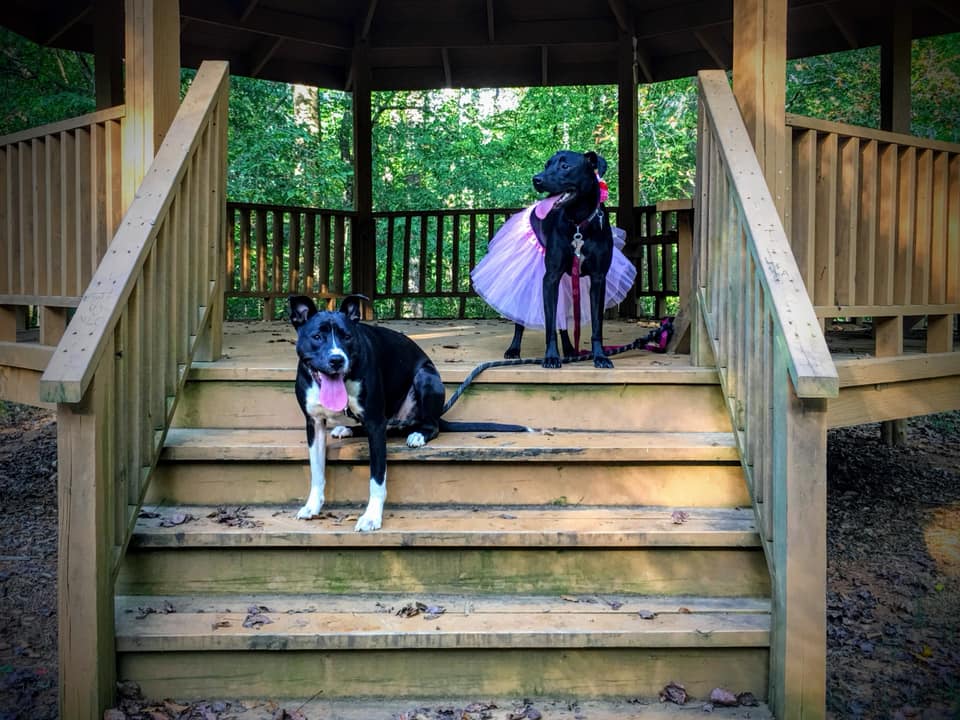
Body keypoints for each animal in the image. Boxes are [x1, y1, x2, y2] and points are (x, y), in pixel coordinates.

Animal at [288, 296, 528, 532]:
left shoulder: (375, 423)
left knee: (432, 425)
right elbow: (317, 471)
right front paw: (312, 506)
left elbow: (377, 478)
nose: (337, 360)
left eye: (347, 336)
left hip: (426, 377)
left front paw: (372, 517)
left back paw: (418, 435)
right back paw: (346, 428)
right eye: (317, 336)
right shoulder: (314, 424)